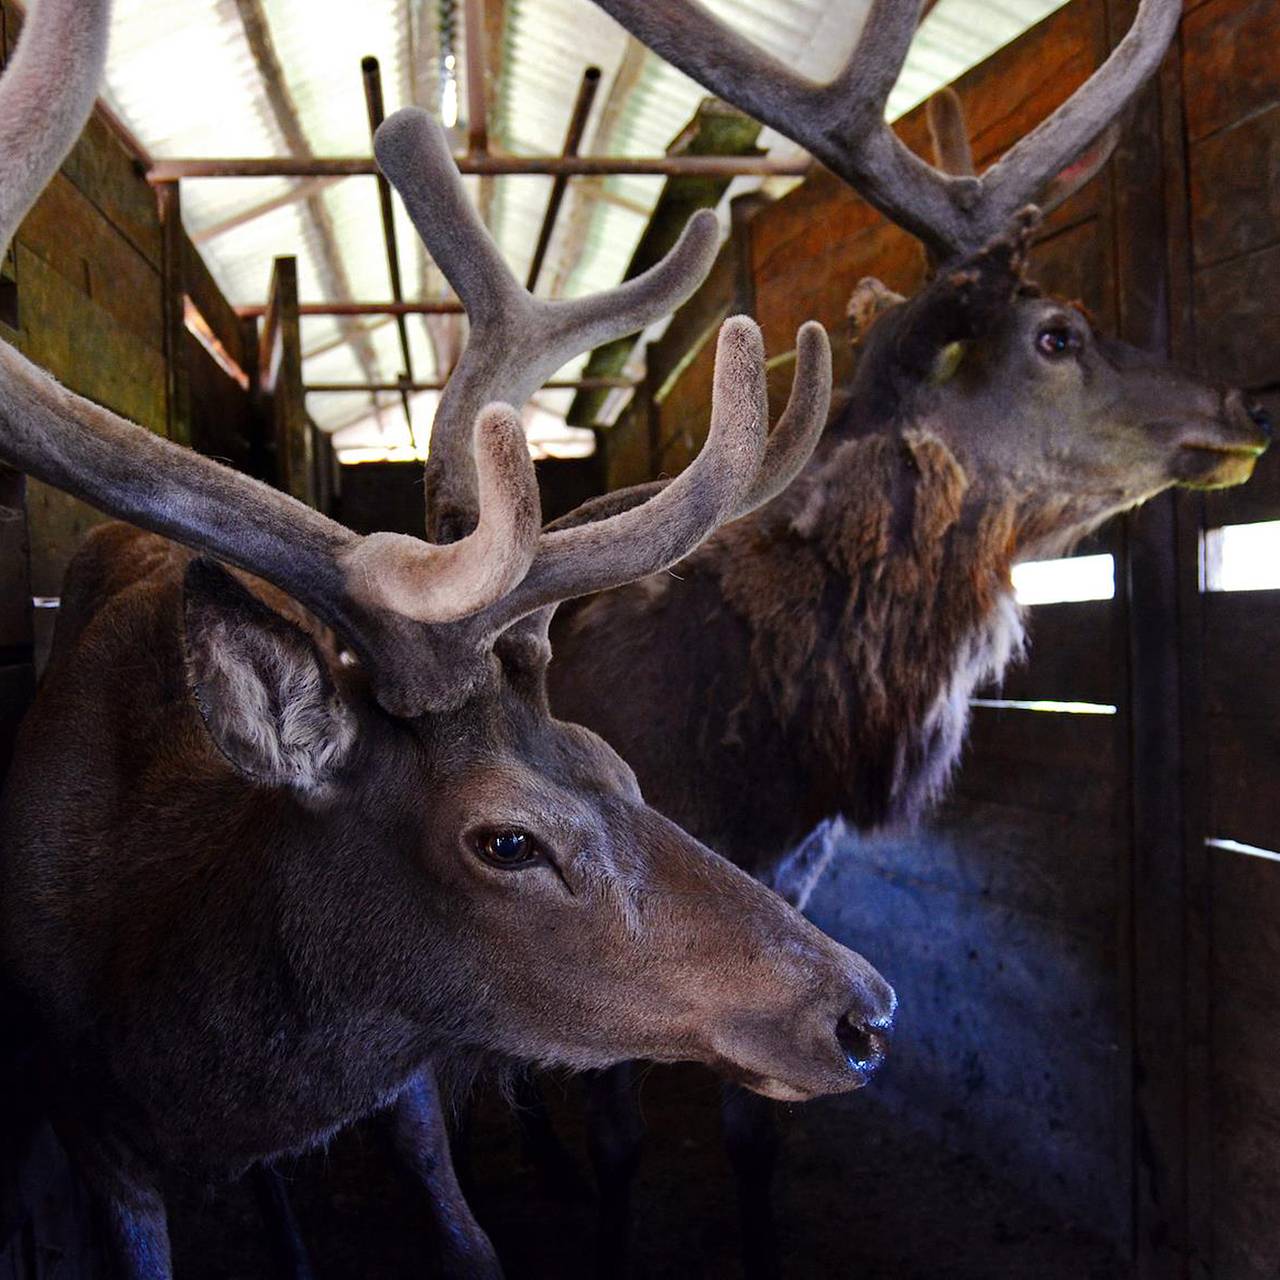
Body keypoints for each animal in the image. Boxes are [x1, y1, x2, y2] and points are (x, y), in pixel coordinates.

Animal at [0, 2, 901, 1280]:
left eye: (619, 767)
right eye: (506, 840)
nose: (864, 1009)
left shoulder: (409, 1067)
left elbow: (466, 1232)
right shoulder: (90, 1123)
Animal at [389, 0, 1269, 1274]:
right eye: (1058, 333)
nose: (1243, 406)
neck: (761, 748)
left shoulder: (788, 884)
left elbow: (756, 1133)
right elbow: (616, 1132)